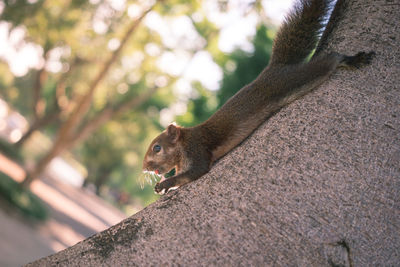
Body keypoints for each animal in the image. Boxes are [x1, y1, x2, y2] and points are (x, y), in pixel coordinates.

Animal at [141, 0, 376, 195]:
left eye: (157, 148)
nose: (145, 168)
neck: (182, 146)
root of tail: (274, 69)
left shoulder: (196, 149)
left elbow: (196, 172)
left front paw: (165, 184)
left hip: (294, 81)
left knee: (327, 62)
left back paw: (350, 59)